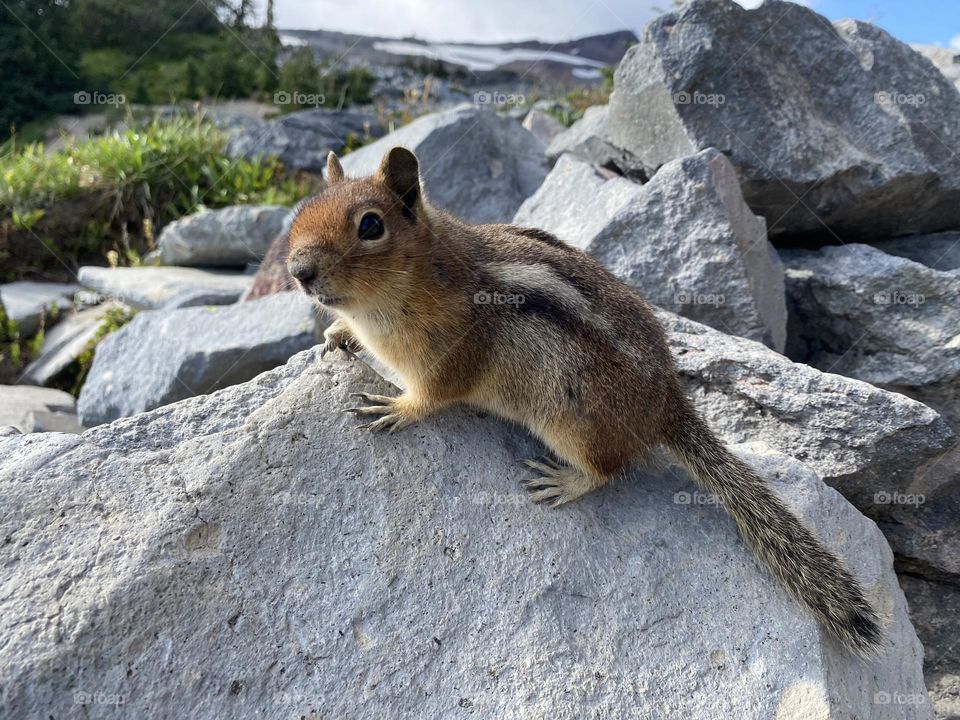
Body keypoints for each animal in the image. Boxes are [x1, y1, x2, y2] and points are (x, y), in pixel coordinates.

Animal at [286, 146, 884, 660]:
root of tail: (667, 404)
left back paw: (566, 481)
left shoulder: (449, 360)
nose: (298, 272)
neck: (419, 275)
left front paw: (393, 408)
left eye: (370, 225)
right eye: (300, 213)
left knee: (609, 470)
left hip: (569, 421)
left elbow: (431, 398)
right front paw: (337, 335)